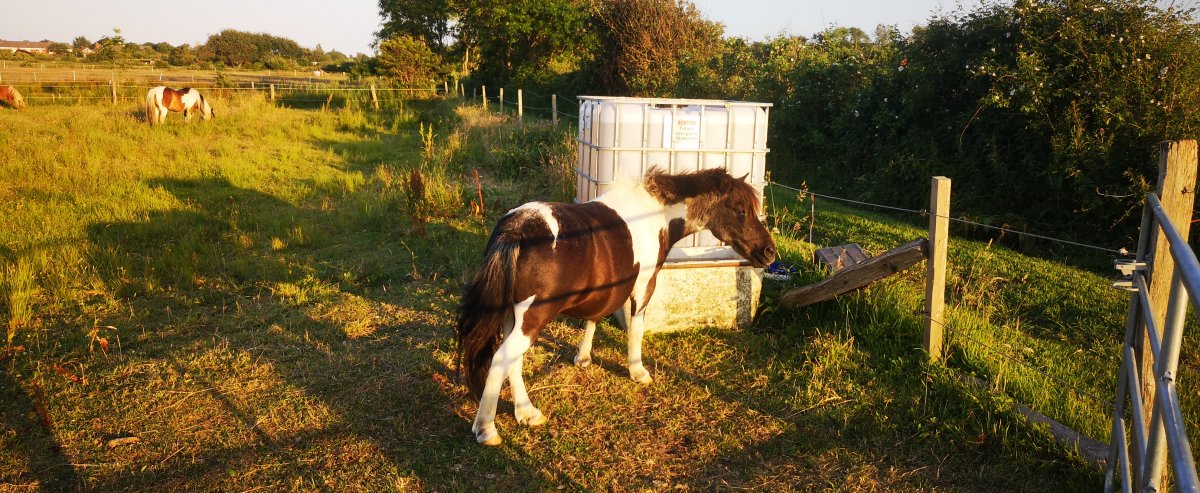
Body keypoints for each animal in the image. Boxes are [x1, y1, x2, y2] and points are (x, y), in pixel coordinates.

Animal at [451, 167, 777, 446]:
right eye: (740, 210)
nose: (769, 252)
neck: (654, 213)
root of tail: (516, 229)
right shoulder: (644, 286)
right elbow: (636, 329)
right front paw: (638, 371)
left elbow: (594, 319)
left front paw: (583, 358)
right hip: (532, 317)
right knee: (500, 360)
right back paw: (487, 429)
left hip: (514, 316)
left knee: (512, 361)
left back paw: (527, 412)